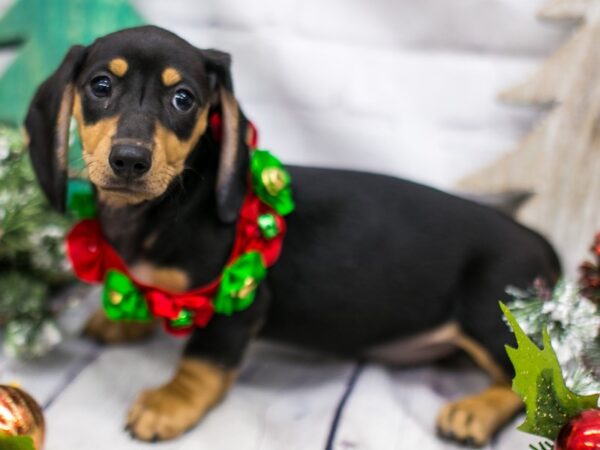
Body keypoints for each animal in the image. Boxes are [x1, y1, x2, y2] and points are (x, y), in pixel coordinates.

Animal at [27, 26, 564, 444]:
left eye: (183, 99)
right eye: (100, 85)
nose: (130, 160)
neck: (163, 209)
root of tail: (537, 239)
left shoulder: (238, 304)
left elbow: (201, 361)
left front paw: (169, 404)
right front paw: (123, 320)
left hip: (491, 316)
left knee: (534, 376)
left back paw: (473, 411)